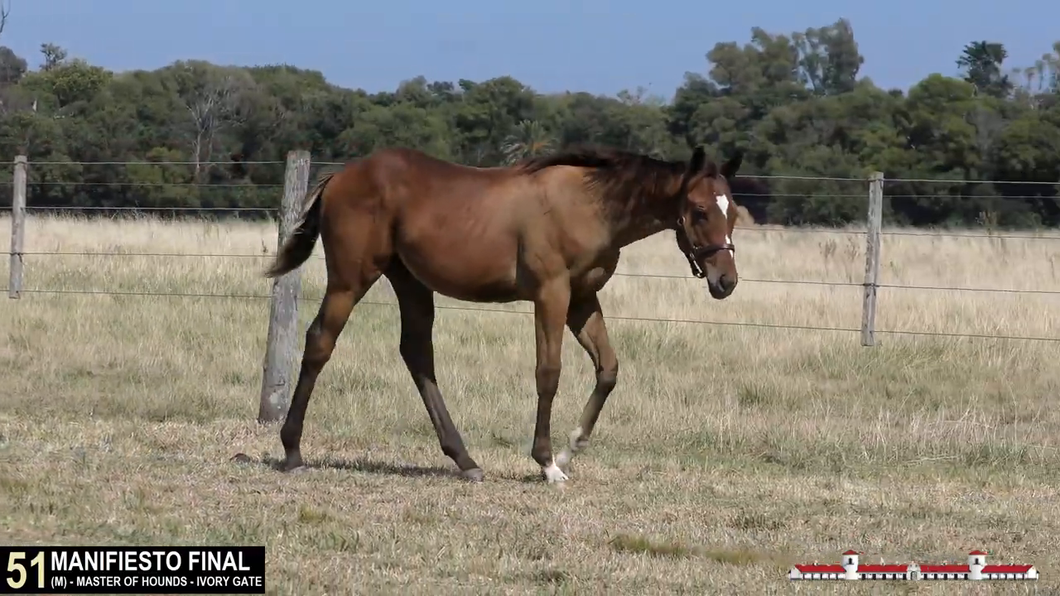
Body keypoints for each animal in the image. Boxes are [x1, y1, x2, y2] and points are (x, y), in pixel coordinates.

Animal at [255, 144, 741, 483]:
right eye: (699, 211)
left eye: (733, 212)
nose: (726, 281)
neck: (588, 205)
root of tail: (340, 175)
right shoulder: (551, 294)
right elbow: (549, 372)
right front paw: (546, 463)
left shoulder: (583, 299)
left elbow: (608, 368)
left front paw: (570, 449)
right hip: (350, 279)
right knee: (320, 340)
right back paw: (293, 452)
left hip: (410, 281)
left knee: (417, 354)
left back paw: (465, 460)